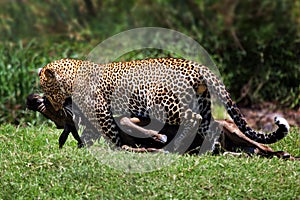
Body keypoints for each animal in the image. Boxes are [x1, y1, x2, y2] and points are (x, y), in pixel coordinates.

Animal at [37, 57, 288, 153]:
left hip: (159, 99)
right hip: (202, 103)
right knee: (211, 125)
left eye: (47, 90)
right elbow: (89, 131)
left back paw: (175, 148)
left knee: (193, 119)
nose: (50, 104)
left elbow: (109, 132)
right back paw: (208, 150)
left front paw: (115, 148)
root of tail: (197, 66)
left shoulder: (101, 110)